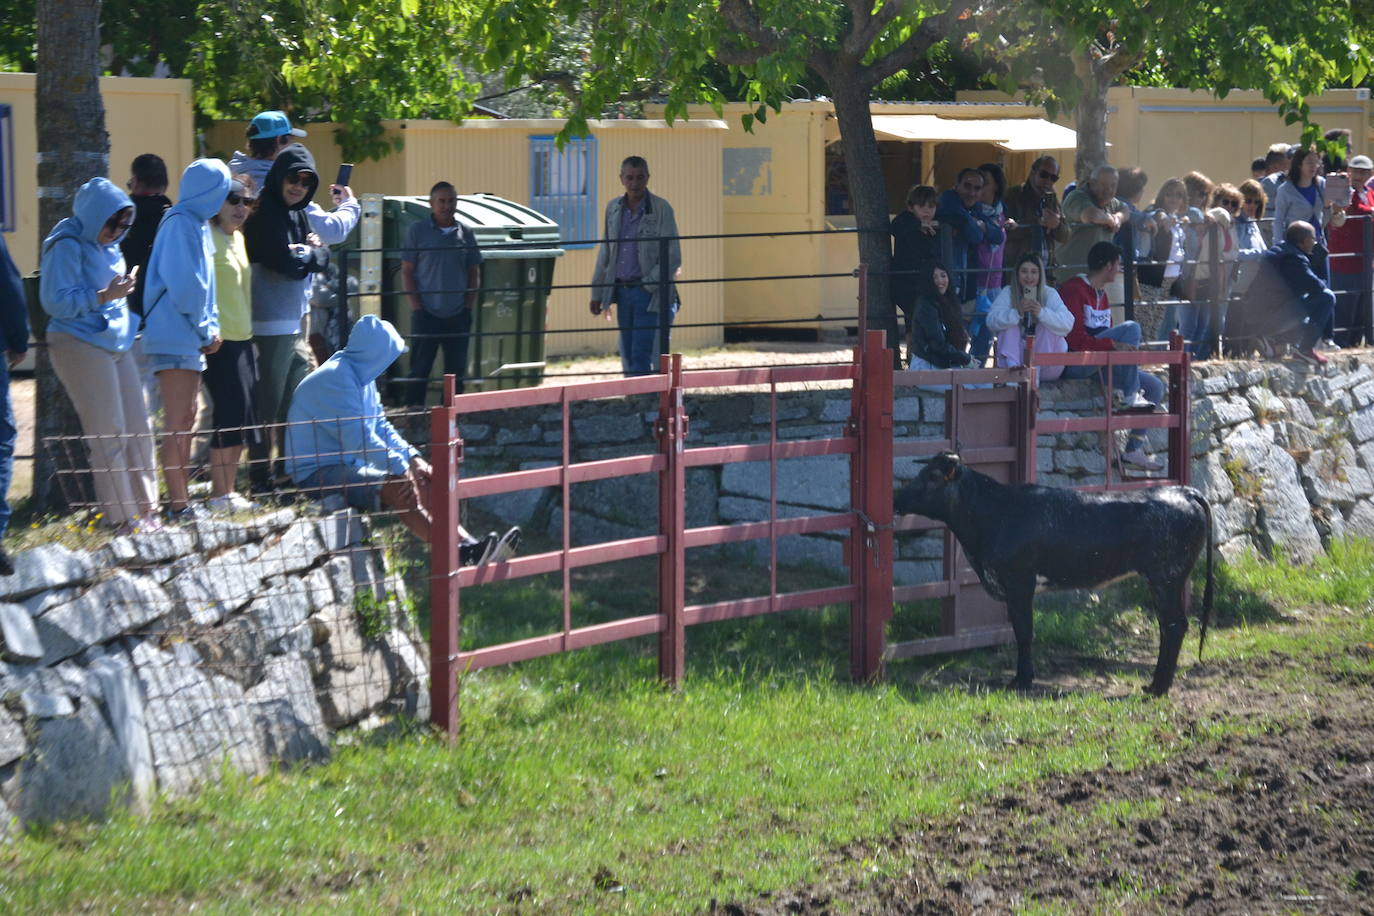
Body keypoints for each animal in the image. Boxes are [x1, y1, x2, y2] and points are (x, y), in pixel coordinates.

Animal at [901, 450, 1214, 694]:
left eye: (932, 476)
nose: (897, 497)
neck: (995, 512)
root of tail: (1182, 491)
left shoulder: (1019, 582)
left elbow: (1024, 632)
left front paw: (1022, 681)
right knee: (1167, 625)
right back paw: (1155, 684)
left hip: (1166, 577)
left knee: (1174, 625)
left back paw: (1158, 687)